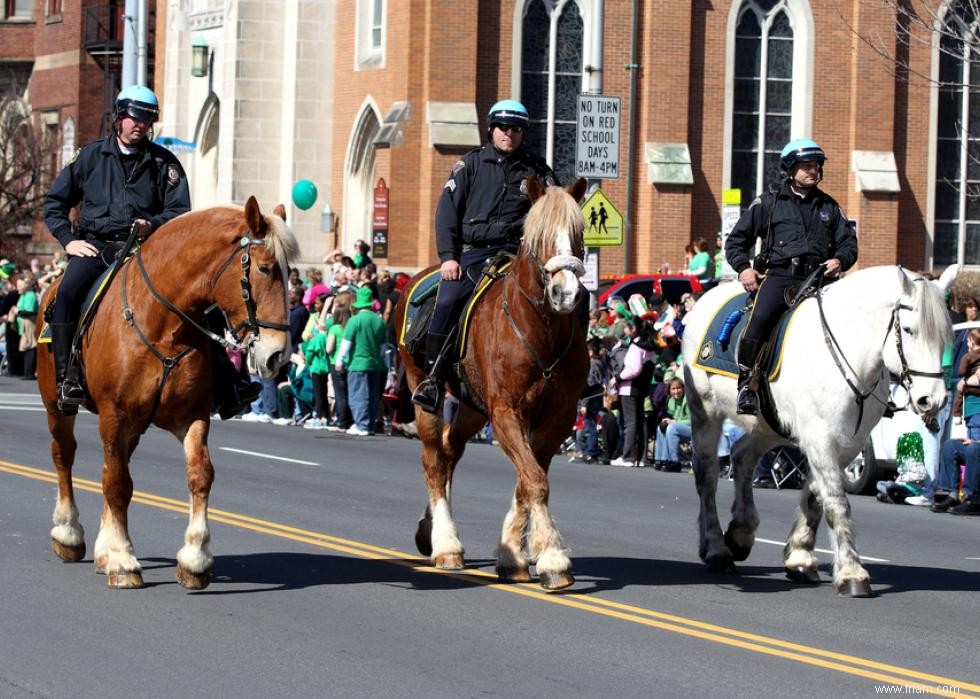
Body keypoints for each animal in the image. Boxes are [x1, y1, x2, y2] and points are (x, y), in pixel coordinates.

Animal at [36, 198, 296, 592]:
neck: (163, 324)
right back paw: (68, 534)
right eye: (265, 268)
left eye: (290, 272)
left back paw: (102, 548)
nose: (278, 355)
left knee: (111, 467)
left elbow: (199, 475)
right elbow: (118, 483)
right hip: (58, 407)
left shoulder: (191, 416)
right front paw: (123, 560)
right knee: (65, 456)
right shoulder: (115, 415)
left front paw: (195, 559)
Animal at [398, 179, 588, 592]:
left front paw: (513, 555)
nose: (565, 294)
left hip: (471, 407)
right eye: (539, 238)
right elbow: (535, 481)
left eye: (579, 234)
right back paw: (446, 545)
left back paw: (429, 529)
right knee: (434, 461)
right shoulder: (505, 414)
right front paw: (552, 559)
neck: (539, 330)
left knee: (450, 451)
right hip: (425, 396)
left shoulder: (556, 419)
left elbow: (529, 481)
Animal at [680, 266, 948, 600]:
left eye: (944, 336)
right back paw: (717, 549)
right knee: (707, 476)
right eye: (909, 330)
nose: (932, 399)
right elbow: (836, 502)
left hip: (769, 425)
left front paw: (800, 558)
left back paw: (741, 533)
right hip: (705, 411)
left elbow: (816, 498)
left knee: (742, 456)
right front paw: (852, 573)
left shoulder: (847, 444)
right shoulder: (820, 438)